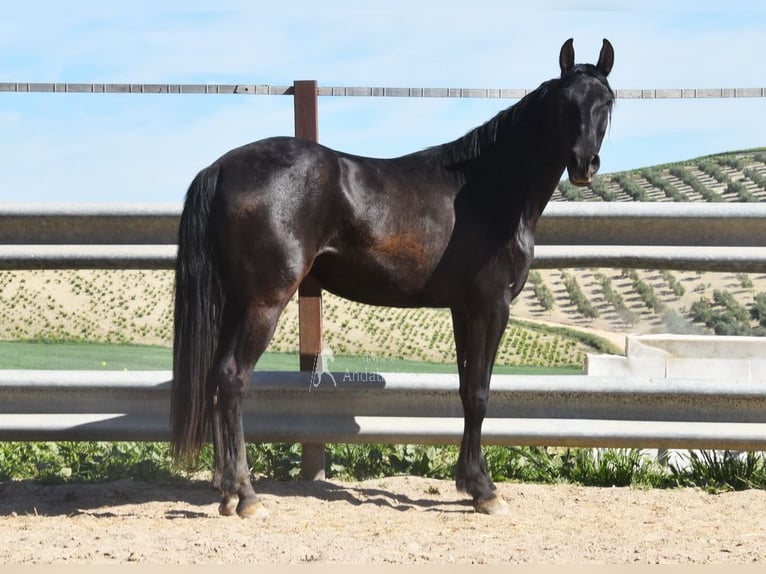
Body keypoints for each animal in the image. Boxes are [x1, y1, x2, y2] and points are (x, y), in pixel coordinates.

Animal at [171, 38, 615, 517]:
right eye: (565, 102)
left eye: (606, 101)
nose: (584, 163)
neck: (488, 188)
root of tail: (221, 168)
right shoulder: (491, 305)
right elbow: (480, 392)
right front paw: (485, 490)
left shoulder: (463, 309)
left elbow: (465, 389)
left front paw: (467, 480)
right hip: (264, 301)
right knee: (233, 378)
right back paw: (247, 496)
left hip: (236, 301)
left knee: (216, 378)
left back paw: (226, 491)